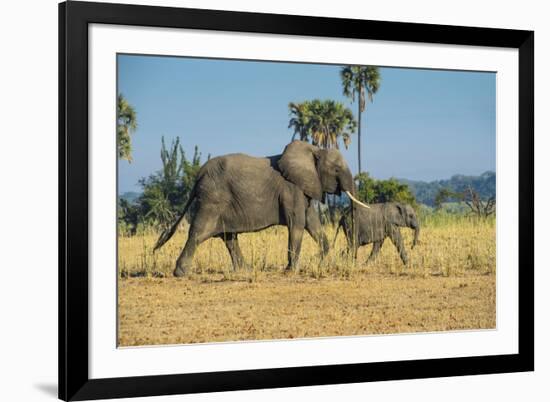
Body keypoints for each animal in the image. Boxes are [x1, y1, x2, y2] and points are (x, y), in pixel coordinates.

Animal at [155, 141, 370, 276]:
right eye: (336, 170)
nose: (348, 257)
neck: (314, 150)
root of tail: (198, 174)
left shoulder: (303, 187)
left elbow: (312, 222)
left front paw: (321, 259)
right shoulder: (291, 188)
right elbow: (297, 224)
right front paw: (291, 270)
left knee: (229, 237)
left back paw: (245, 270)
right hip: (212, 199)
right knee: (199, 232)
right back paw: (181, 273)